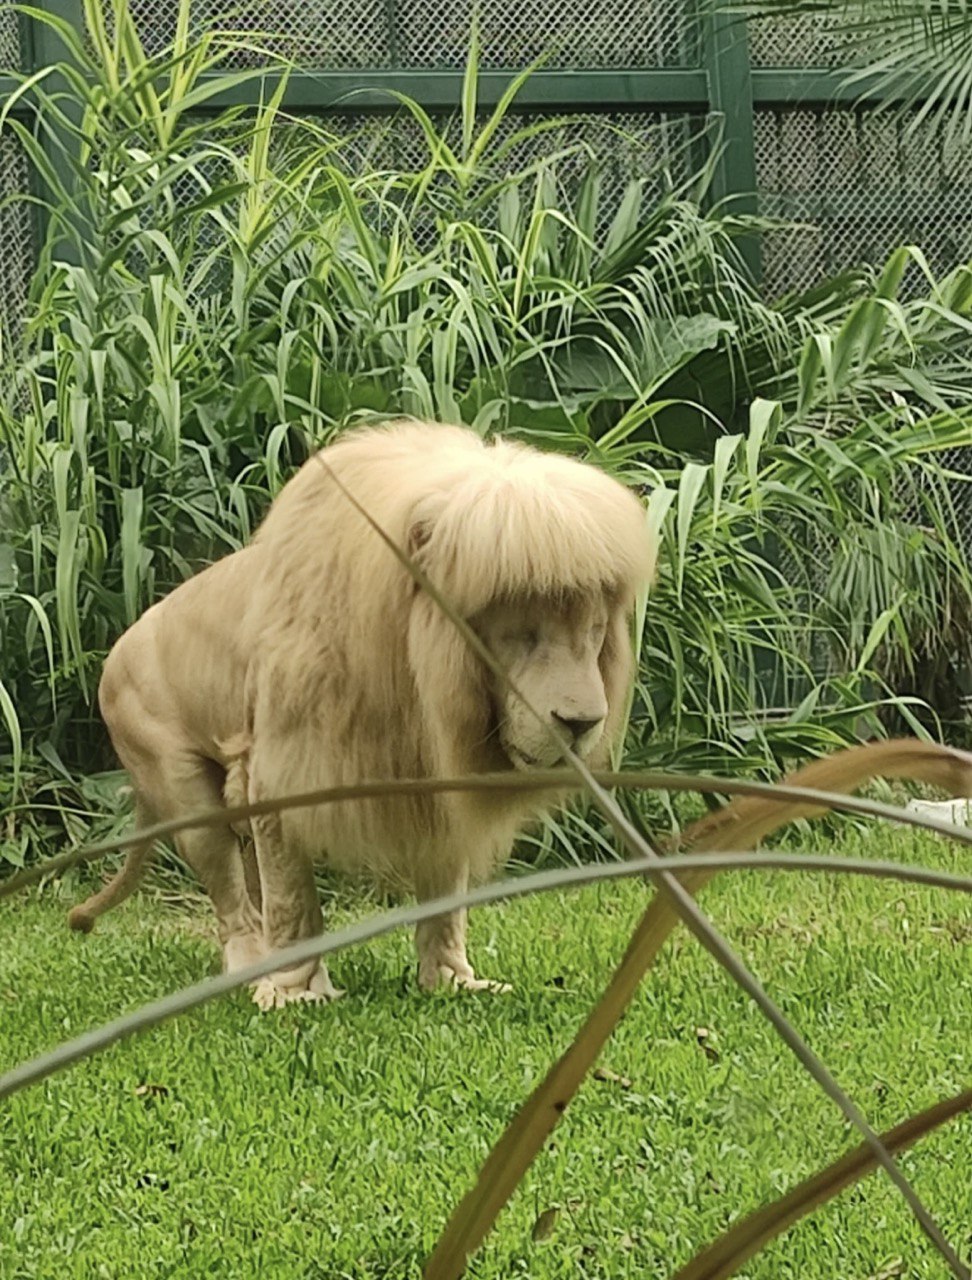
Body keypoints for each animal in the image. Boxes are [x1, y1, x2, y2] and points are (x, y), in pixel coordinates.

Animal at [72, 424, 655, 1003]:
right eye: (522, 635)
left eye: (593, 632)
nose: (582, 723)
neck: (417, 685)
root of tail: (111, 657)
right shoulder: (283, 770)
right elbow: (293, 899)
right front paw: (296, 994)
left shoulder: (436, 782)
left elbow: (445, 896)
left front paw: (452, 981)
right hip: (183, 787)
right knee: (233, 897)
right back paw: (253, 970)